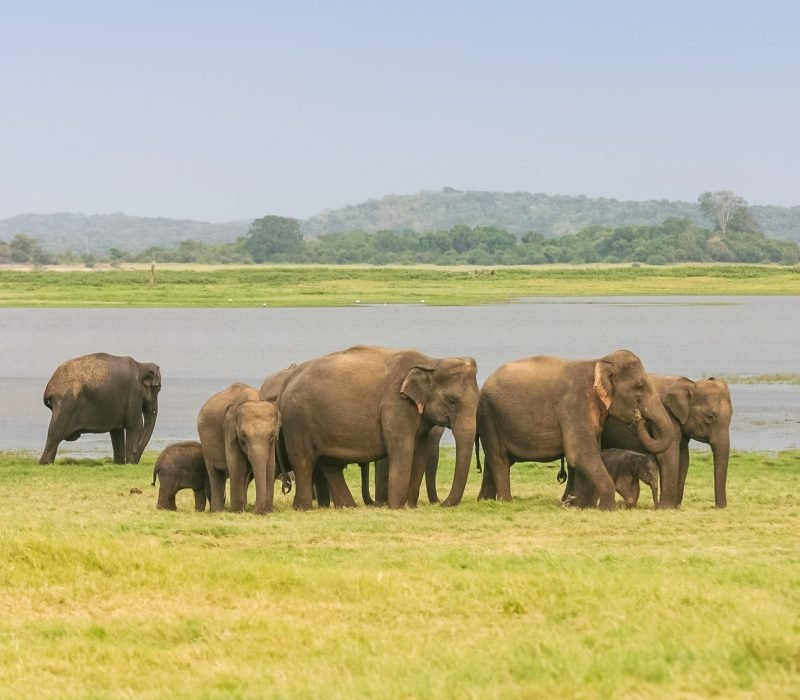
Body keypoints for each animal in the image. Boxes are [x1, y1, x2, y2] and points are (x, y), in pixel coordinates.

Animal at [197, 384, 282, 514]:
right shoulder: (229, 430)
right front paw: (235, 512)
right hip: (206, 443)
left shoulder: (272, 442)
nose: (255, 511)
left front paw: (267, 511)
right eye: (243, 435)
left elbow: (270, 466)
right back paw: (217, 511)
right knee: (214, 473)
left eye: (272, 434)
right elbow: (237, 465)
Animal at [271, 345, 479, 510]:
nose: (442, 504)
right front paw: (396, 507)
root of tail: (286, 382)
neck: (431, 362)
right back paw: (303, 508)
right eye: (452, 401)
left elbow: (420, 452)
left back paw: (348, 507)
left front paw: (410, 507)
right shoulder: (395, 406)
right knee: (304, 462)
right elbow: (402, 450)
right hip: (298, 421)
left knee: (330, 465)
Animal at [476, 349, 674, 510]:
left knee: (494, 461)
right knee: (499, 459)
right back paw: (505, 502)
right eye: (639, 387)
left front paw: (580, 506)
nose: (639, 418)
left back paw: (485, 501)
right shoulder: (575, 406)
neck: (599, 362)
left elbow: (588, 455)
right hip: (489, 416)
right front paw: (608, 509)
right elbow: (580, 454)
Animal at [602, 376, 732, 508]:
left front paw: (675, 507)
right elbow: (668, 455)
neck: (690, 384)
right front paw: (665, 508)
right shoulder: (666, 415)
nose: (717, 507)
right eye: (709, 417)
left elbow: (683, 459)